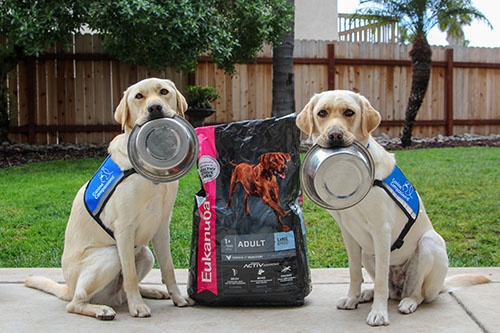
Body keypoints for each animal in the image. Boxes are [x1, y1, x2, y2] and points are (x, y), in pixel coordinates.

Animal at [24, 77, 193, 320]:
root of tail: (68, 288)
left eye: (164, 92)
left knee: (123, 288)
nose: (155, 108)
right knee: (77, 302)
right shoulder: (124, 229)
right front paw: (137, 307)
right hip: (110, 255)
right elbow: (129, 275)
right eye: (139, 96)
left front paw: (178, 298)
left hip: (145, 254)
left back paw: (150, 291)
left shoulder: (161, 226)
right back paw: (101, 309)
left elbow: (168, 268)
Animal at [296, 89, 488, 326]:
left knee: (417, 292)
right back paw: (366, 294)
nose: (335, 135)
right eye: (322, 113)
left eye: (349, 112)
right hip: (369, 252)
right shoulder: (349, 233)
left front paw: (379, 313)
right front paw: (352, 298)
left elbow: (380, 282)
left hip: (429, 244)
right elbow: (354, 272)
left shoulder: (381, 230)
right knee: (390, 289)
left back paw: (408, 302)